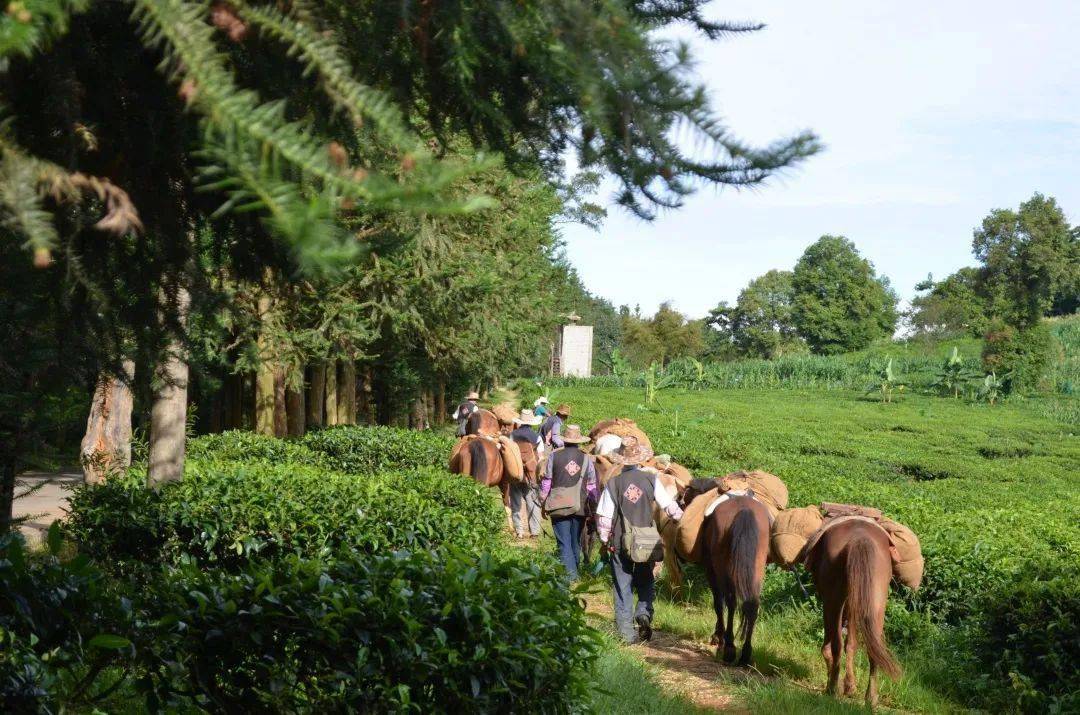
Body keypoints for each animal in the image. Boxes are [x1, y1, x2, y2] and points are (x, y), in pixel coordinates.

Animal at [699, 492, 768, 665]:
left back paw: (729, 647)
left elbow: (718, 603)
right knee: (752, 604)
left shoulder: (711, 570)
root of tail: (743, 509)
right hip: (757, 568)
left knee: (730, 602)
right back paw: (745, 654)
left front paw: (719, 637)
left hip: (721, 566)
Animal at [807, 518, 898, 708]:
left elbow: (830, 646)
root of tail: (858, 538)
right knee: (873, 646)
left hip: (835, 600)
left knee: (836, 644)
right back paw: (869, 697)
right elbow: (852, 641)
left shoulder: (829, 602)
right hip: (876, 602)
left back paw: (833, 688)